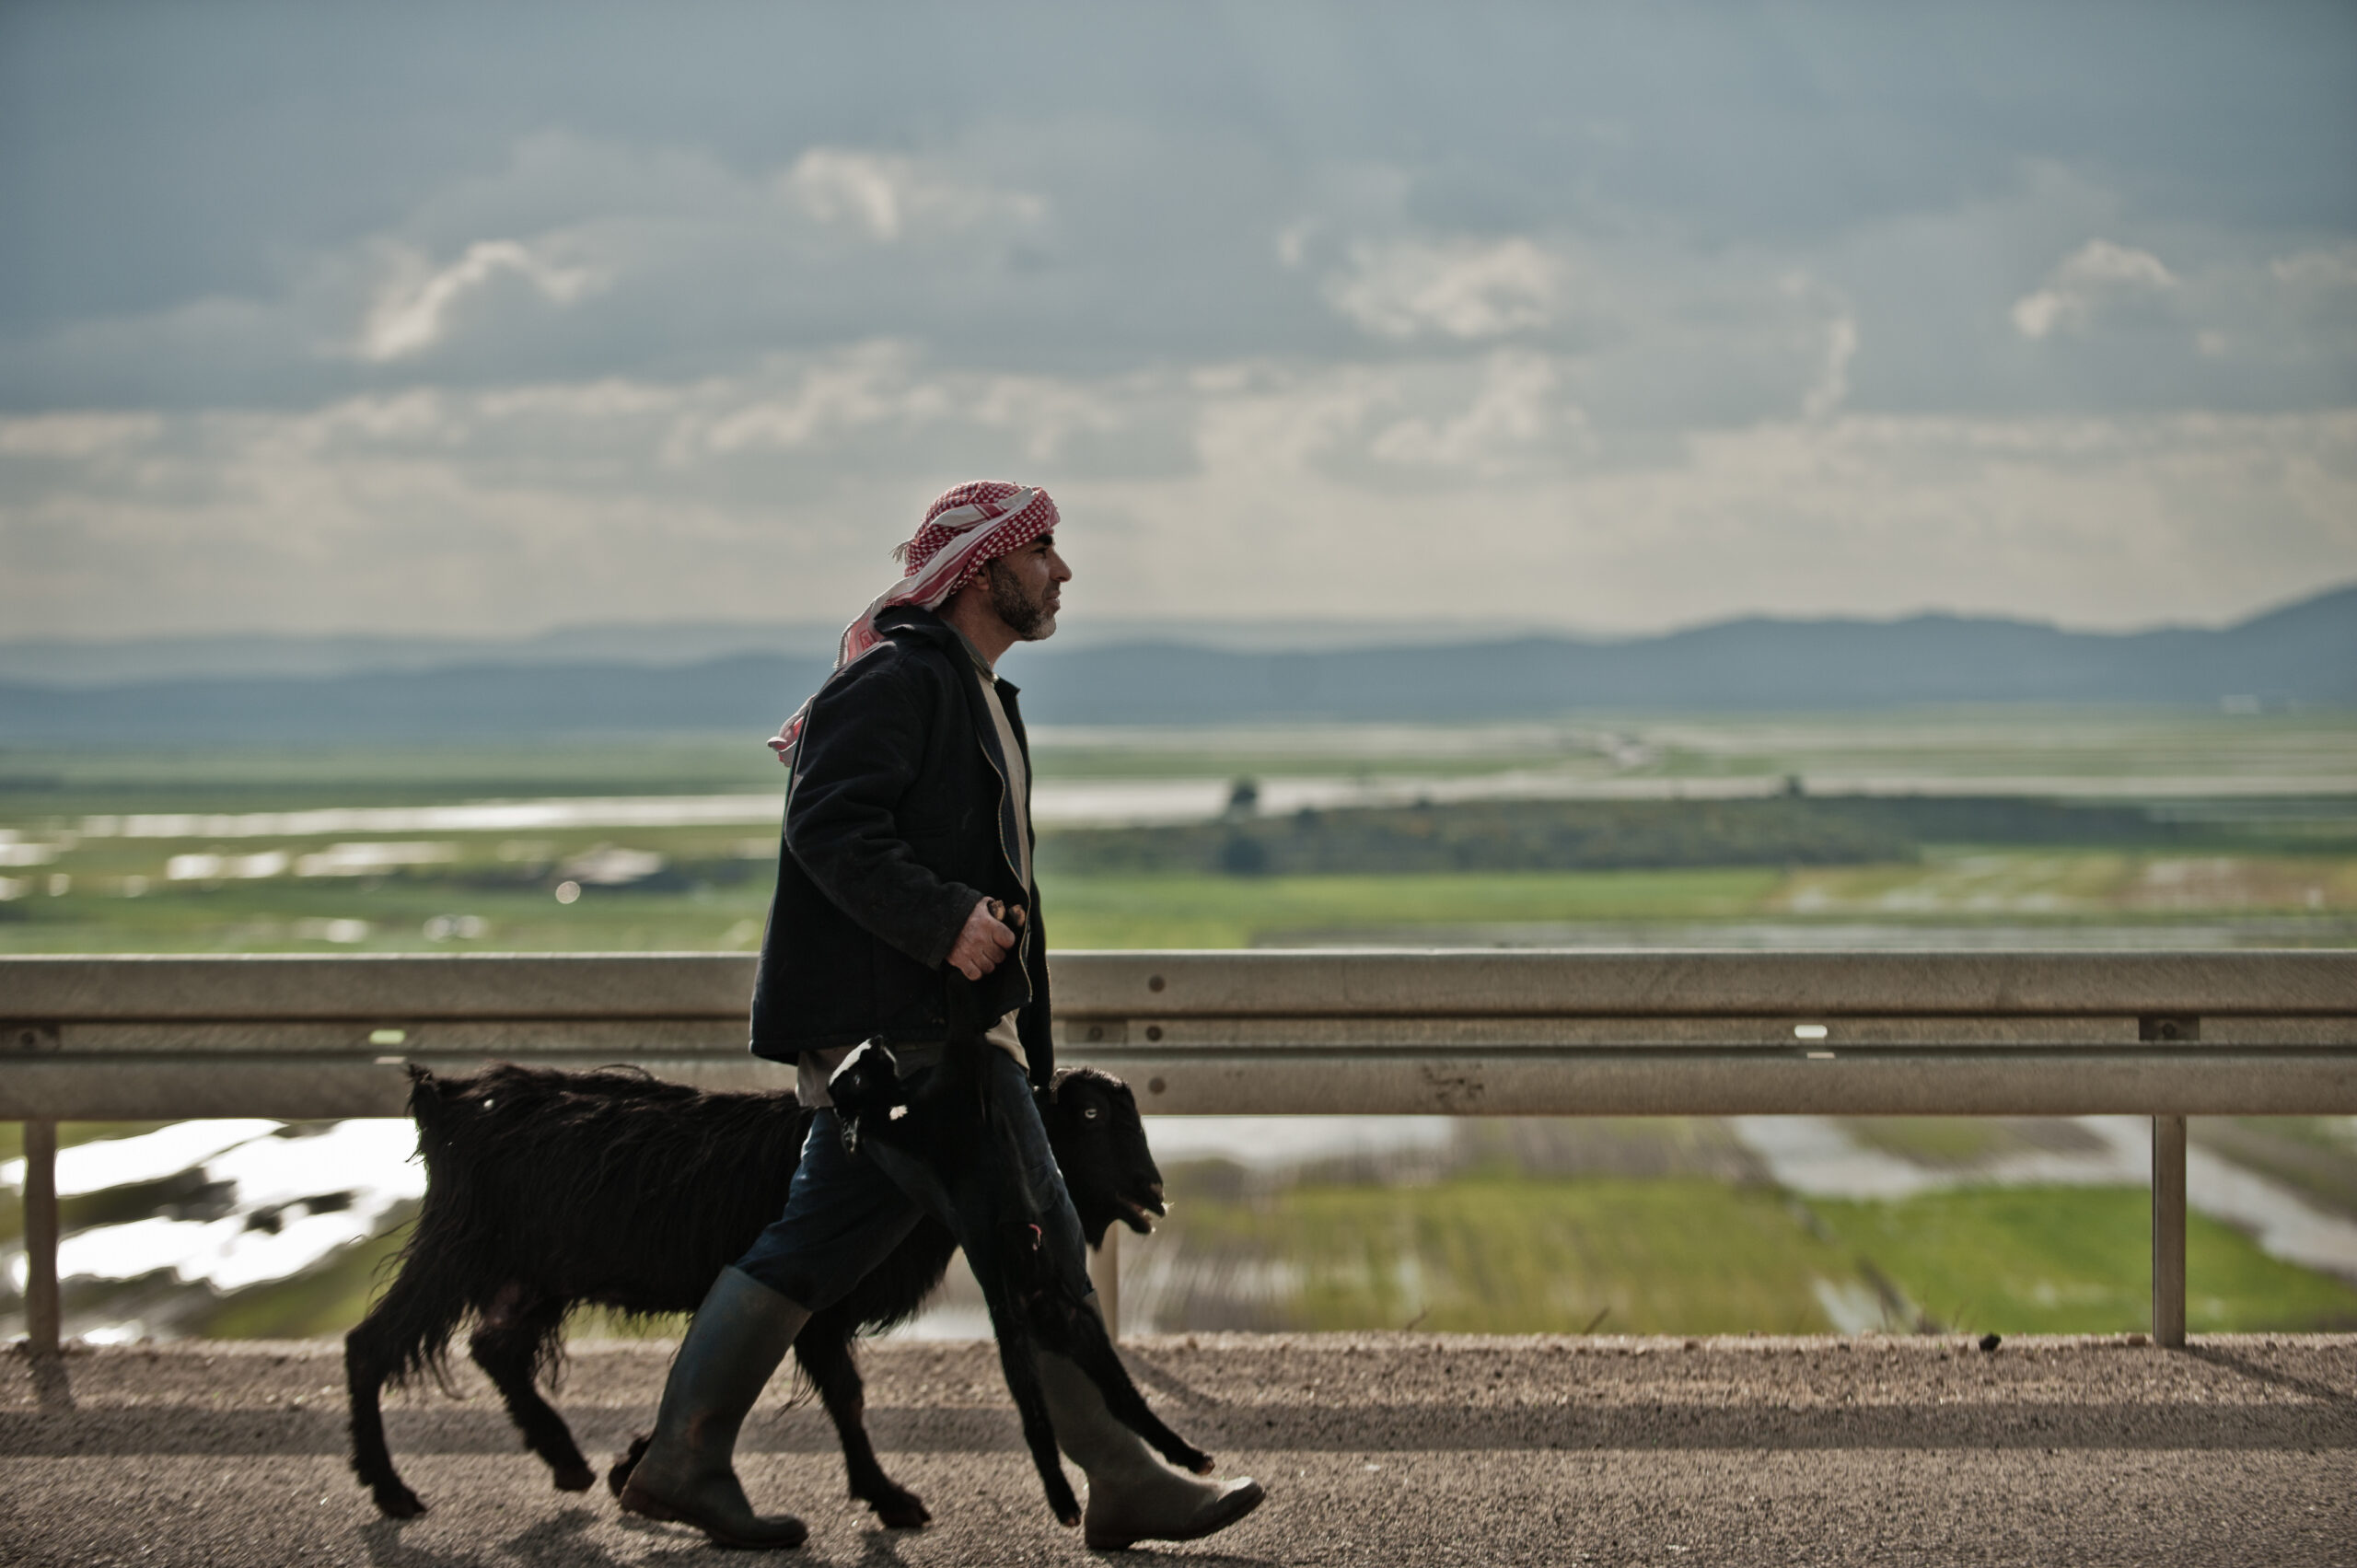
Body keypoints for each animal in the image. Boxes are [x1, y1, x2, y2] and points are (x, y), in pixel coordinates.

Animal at [343, 1056, 1168, 1518]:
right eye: (1087, 1112)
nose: (1154, 1192)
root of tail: (449, 1097)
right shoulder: (818, 1297)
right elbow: (846, 1397)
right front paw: (891, 1499)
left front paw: (635, 1462)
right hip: (462, 1249)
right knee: (373, 1342)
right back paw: (391, 1490)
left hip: (534, 1271)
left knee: (495, 1346)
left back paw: (568, 1462)